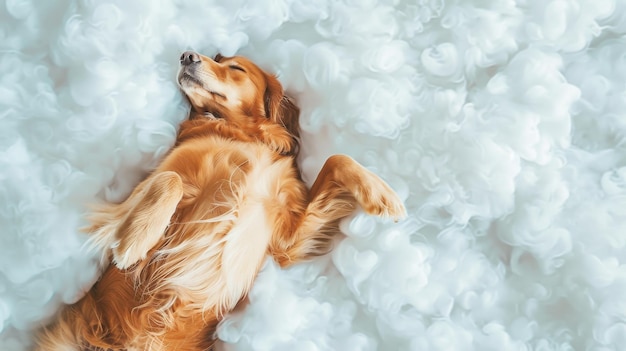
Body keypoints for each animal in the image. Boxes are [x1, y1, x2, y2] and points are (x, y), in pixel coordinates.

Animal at [34, 51, 404, 350]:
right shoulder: (148, 183)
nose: (186, 55)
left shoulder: (286, 241)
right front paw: (135, 241)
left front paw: (383, 194)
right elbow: (171, 181)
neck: (245, 137)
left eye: (236, 68)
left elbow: (337, 159)